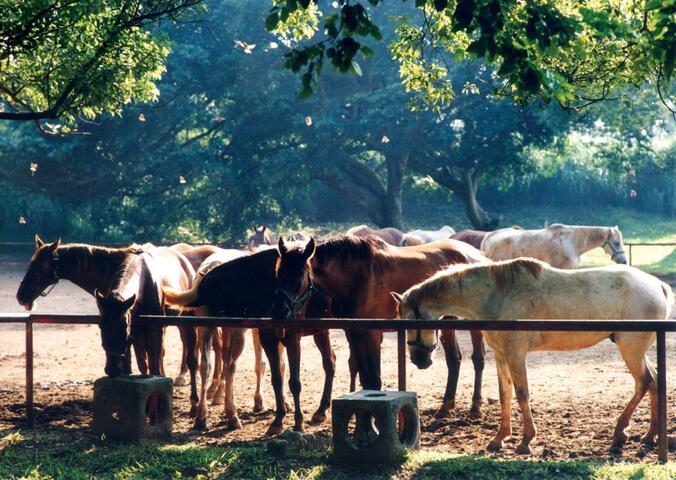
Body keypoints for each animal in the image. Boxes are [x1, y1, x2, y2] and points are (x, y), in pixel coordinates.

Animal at [93, 246, 200, 414]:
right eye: (101, 325)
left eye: (123, 325)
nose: (112, 369)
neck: (144, 281)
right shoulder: (136, 332)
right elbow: (142, 366)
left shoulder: (154, 329)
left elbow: (154, 367)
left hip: (187, 322)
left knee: (192, 360)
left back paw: (195, 403)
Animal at [163, 247, 336, 433]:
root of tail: (207, 271)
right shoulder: (271, 333)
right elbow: (275, 367)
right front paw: (271, 405)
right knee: (227, 364)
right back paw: (228, 414)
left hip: (210, 327)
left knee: (207, 365)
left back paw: (204, 415)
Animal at [272, 235, 488, 419]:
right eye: (278, 274)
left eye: (298, 277)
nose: (279, 312)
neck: (356, 277)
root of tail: (478, 255)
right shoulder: (353, 333)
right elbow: (365, 378)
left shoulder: (372, 334)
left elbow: (374, 380)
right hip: (447, 323)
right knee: (454, 359)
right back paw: (445, 407)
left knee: (478, 360)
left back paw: (475, 406)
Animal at [393, 258, 673, 454]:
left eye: (410, 320)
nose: (419, 361)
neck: (498, 294)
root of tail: (658, 285)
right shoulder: (501, 356)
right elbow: (505, 394)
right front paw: (499, 438)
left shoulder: (516, 354)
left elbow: (522, 394)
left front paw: (525, 441)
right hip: (636, 351)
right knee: (654, 382)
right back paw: (649, 436)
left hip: (630, 350)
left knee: (645, 382)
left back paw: (620, 432)